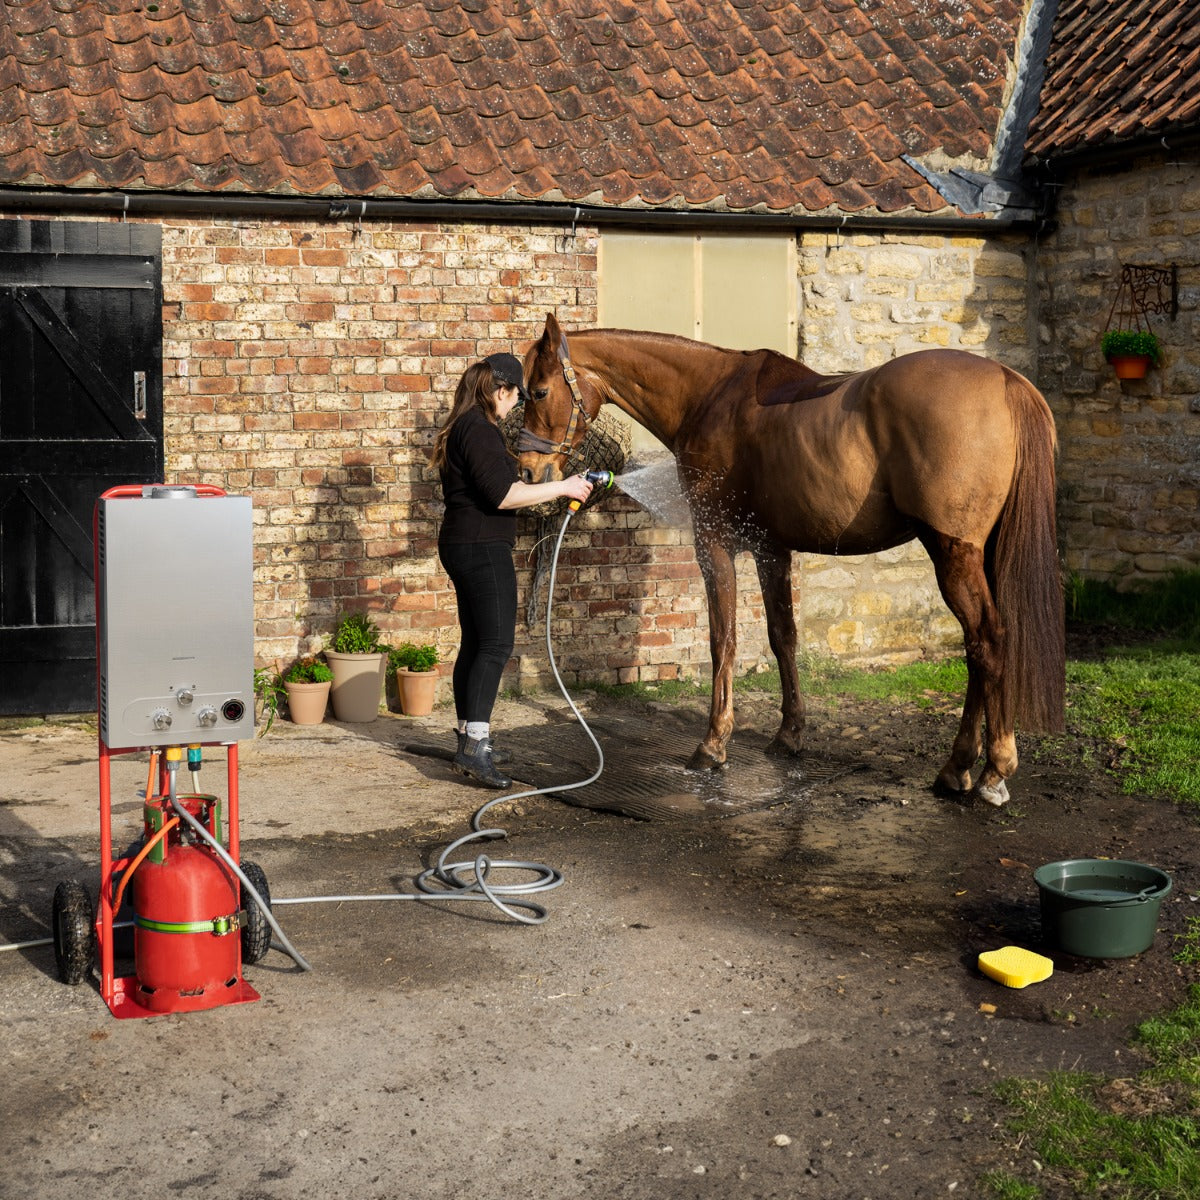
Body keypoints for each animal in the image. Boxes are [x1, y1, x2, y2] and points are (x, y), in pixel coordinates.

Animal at [517, 313, 1065, 807]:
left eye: (539, 392)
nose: (527, 471)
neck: (707, 395)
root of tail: (1006, 380)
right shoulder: (771, 550)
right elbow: (783, 637)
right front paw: (790, 735)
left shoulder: (714, 543)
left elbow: (723, 640)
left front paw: (713, 744)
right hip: (979, 555)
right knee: (978, 648)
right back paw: (962, 767)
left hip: (952, 554)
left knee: (987, 642)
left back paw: (988, 768)